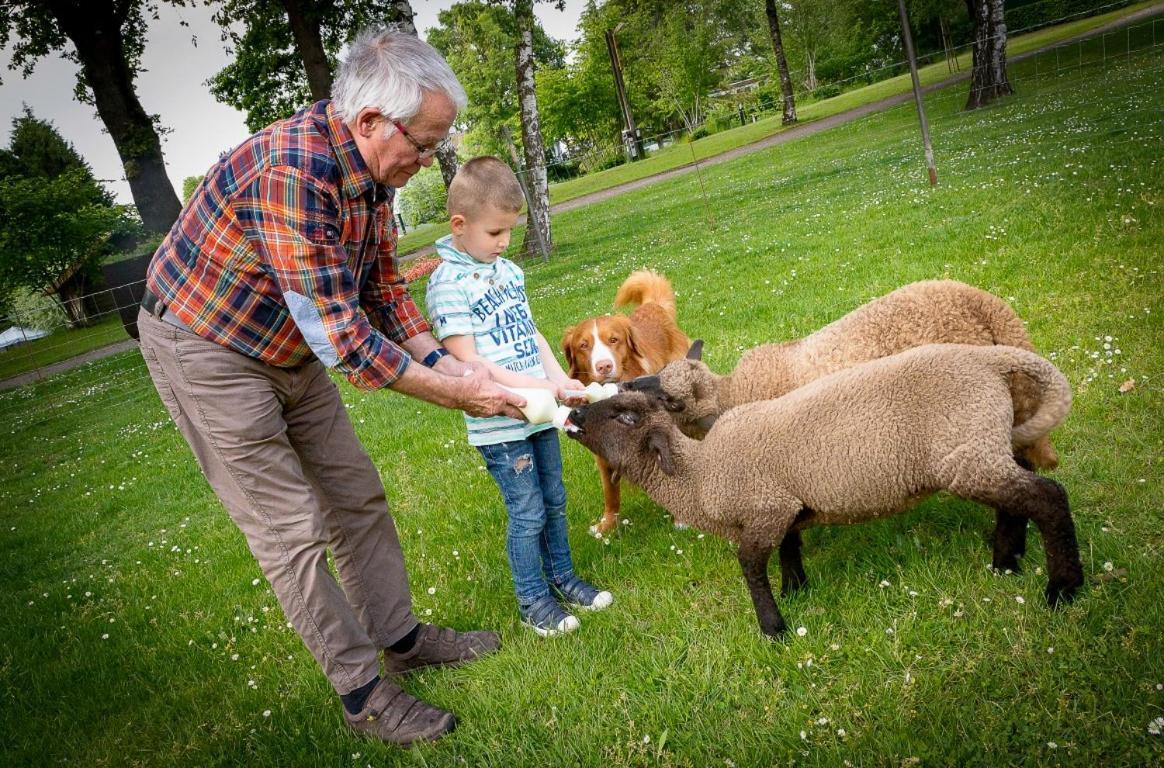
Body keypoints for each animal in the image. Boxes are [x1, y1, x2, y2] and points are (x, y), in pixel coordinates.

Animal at [558, 269, 684, 532]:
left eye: (614, 340)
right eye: (583, 345)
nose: (604, 366)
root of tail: (653, 307)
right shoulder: (601, 451)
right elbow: (610, 494)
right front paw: (607, 526)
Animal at [563, 344, 1080, 637]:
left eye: (626, 416)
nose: (574, 414)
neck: (703, 473)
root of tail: (988, 359)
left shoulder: (766, 507)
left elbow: (750, 566)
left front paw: (774, 627)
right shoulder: (786, 506)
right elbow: (790, 547)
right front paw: (796, 590)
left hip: (965, 451)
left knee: (1048, 497)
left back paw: (1063, 590)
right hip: (979, 445)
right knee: (1015, 500)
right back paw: (1006, 563)